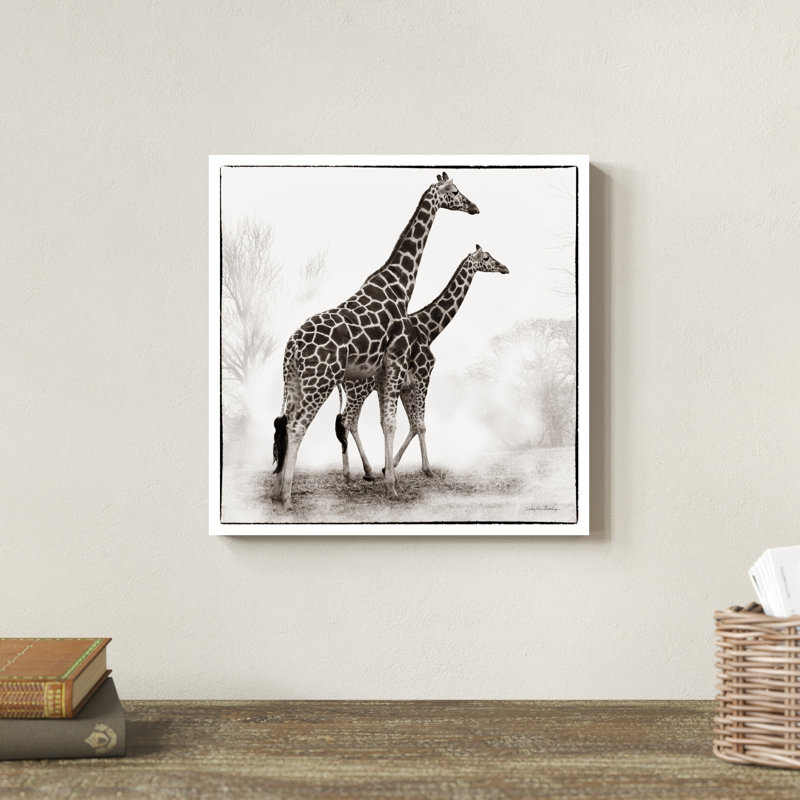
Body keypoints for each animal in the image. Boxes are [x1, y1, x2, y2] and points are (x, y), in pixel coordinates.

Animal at [271, 172, 479, 510]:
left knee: (286, 422)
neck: (400, 285)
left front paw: (387, 477)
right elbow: (394, 422)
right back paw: (289, 497)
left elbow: (387, 422)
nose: (474, 207)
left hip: (294, 381)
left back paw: (276, 491)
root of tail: (292, 347)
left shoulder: (385, 372)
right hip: (321, 381)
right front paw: (392, 485)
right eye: (454, 191)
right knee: (299, 425)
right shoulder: (396, 361)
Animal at [337, 245, 509, 481]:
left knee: (351, 421)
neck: (428, 330)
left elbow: (412, 425)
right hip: (359, 390)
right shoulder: (423, 376)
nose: (504, 268)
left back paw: (367, 470)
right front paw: (427, 469)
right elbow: (421, 425)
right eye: (486, 257)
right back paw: (348, 473)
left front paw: (389, 467)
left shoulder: (406, 386)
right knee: (346, 420)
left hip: (358, 391)